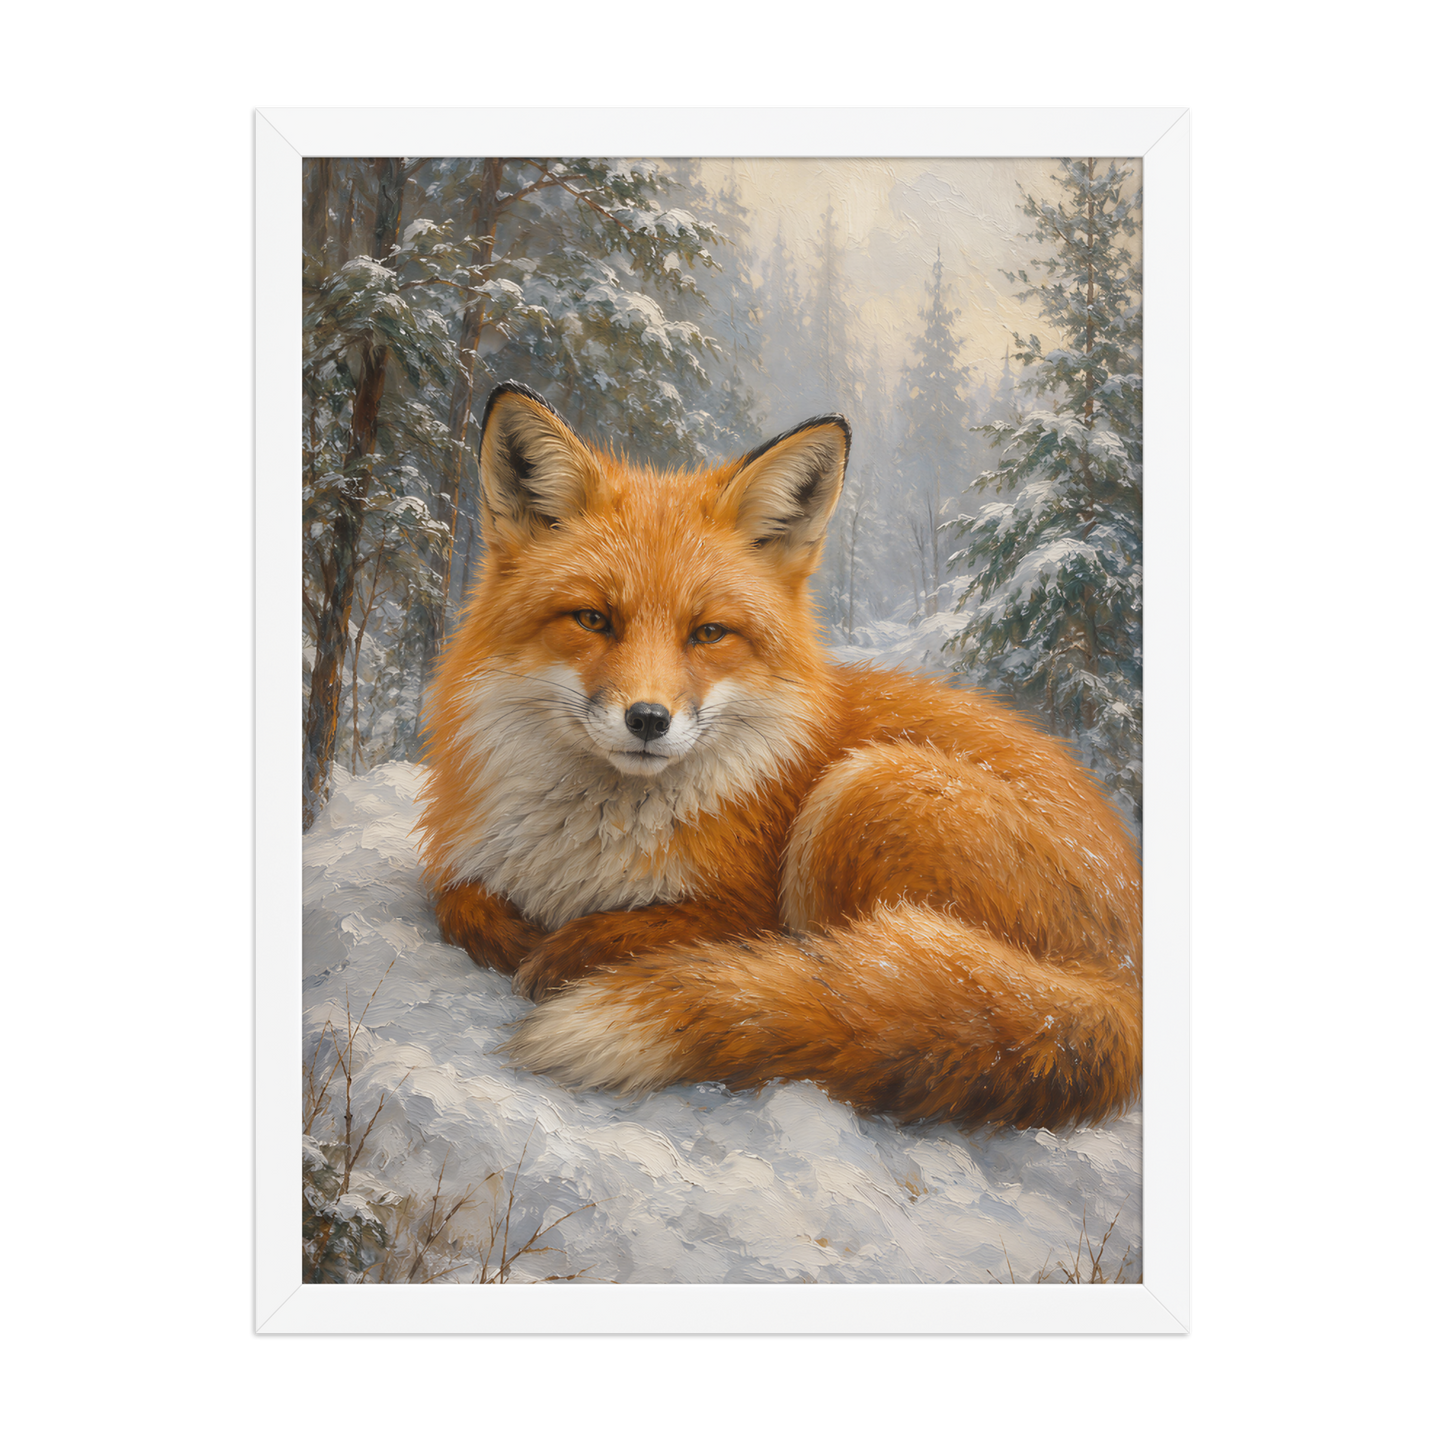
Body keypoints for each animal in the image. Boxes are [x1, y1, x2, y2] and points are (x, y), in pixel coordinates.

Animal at [416, 381, 1142, 1131]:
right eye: (593, 619)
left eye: (708, 633)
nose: (648, 719)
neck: (584, 845)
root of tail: (1125, 977)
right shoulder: (469, 862)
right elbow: (457, 900)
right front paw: (513, 934)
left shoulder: (744, 905)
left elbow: (654, 928)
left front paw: (569, 951)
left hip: (863, 790)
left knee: (849, 979)